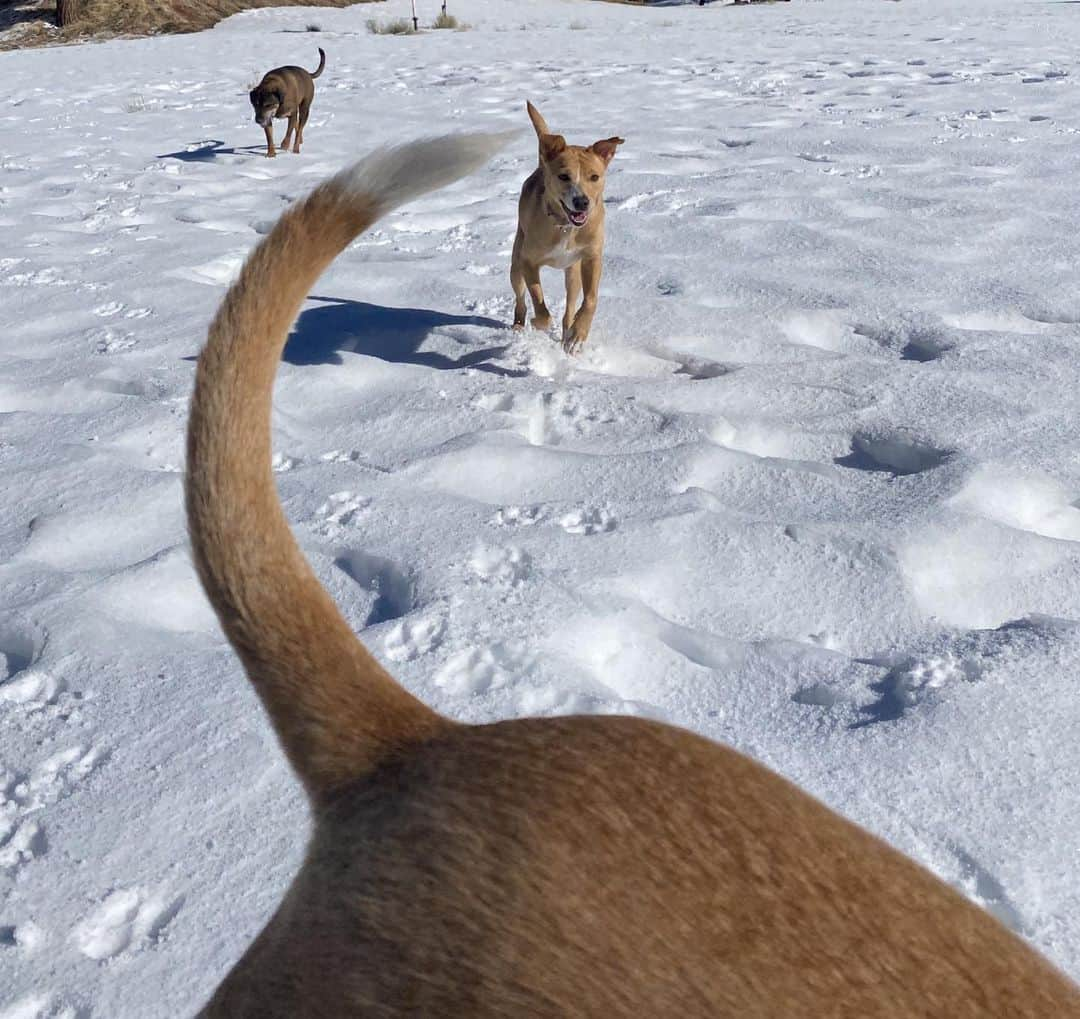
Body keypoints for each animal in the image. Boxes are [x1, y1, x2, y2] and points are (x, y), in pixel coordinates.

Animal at [185, 131, 1080, 1014]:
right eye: (560, 172)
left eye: (594, 174)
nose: (579, 198)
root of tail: (413, 746)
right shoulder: (533, 255)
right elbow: (538, 298)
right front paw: (546, 330)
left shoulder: (589, 263)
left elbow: (583, 306)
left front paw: (575, 337)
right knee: (521, 294)